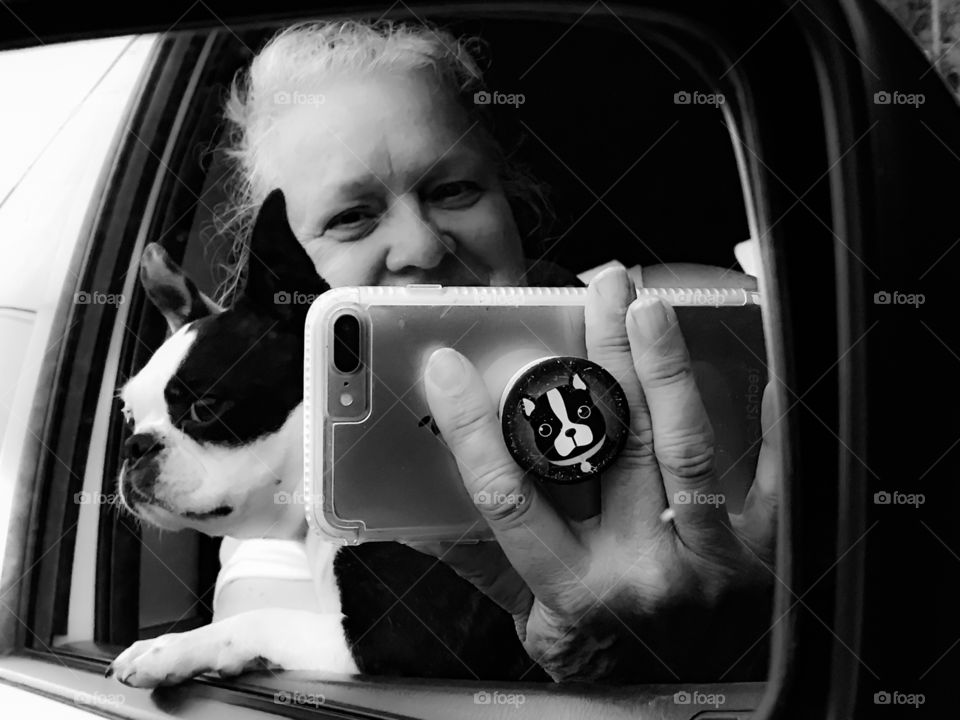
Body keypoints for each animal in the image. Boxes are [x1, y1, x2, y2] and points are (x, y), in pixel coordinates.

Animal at [107, 190, 540, 688]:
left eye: (204, 406)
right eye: (128, 416)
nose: (134, 446)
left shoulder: (401, 641)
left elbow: (261, 619)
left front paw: (168, 647)